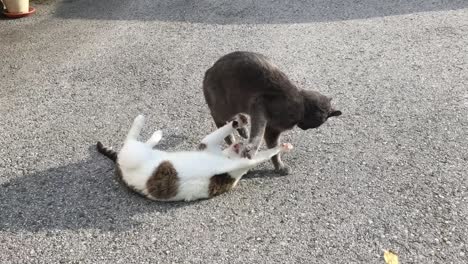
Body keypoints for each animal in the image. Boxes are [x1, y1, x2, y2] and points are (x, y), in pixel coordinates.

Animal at [97, 113, 292, 202]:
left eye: (244, 146)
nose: (240, 145)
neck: (228, 157)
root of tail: (118, 169)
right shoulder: (207, 143)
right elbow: (225, 129)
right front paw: (239, 121)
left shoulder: (238, 165)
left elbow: (263, 155)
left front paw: (281, 147)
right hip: (136, 154)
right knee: (133, 141)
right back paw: (149, 127)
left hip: (134, 154)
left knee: (131, 141)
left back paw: (147, 127)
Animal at [201, 51, 340, 175]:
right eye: (318, 124)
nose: (304, 128)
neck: (301, 105)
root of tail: (209, 69)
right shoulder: (259, 104)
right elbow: (259, 131)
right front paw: (252, 149)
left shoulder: (273, 130)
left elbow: (275, 151)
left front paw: (280, 167)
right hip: (226, 106)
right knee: (218, 117)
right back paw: (230, 135)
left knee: (236, 119)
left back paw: (243, 128)